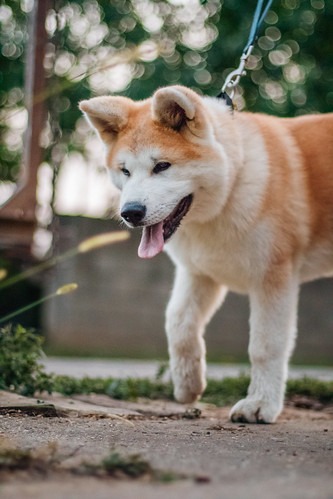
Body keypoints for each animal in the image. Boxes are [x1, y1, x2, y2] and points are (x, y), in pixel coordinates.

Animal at [80, 86, 332, 422]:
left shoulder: (274, 278)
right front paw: (189, 383)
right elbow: (178, 323)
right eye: (125, 171)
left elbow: (265, 346)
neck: (233, 187)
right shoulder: (199, 272)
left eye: (162, 166)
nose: (130, 212)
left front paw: (260, 404)